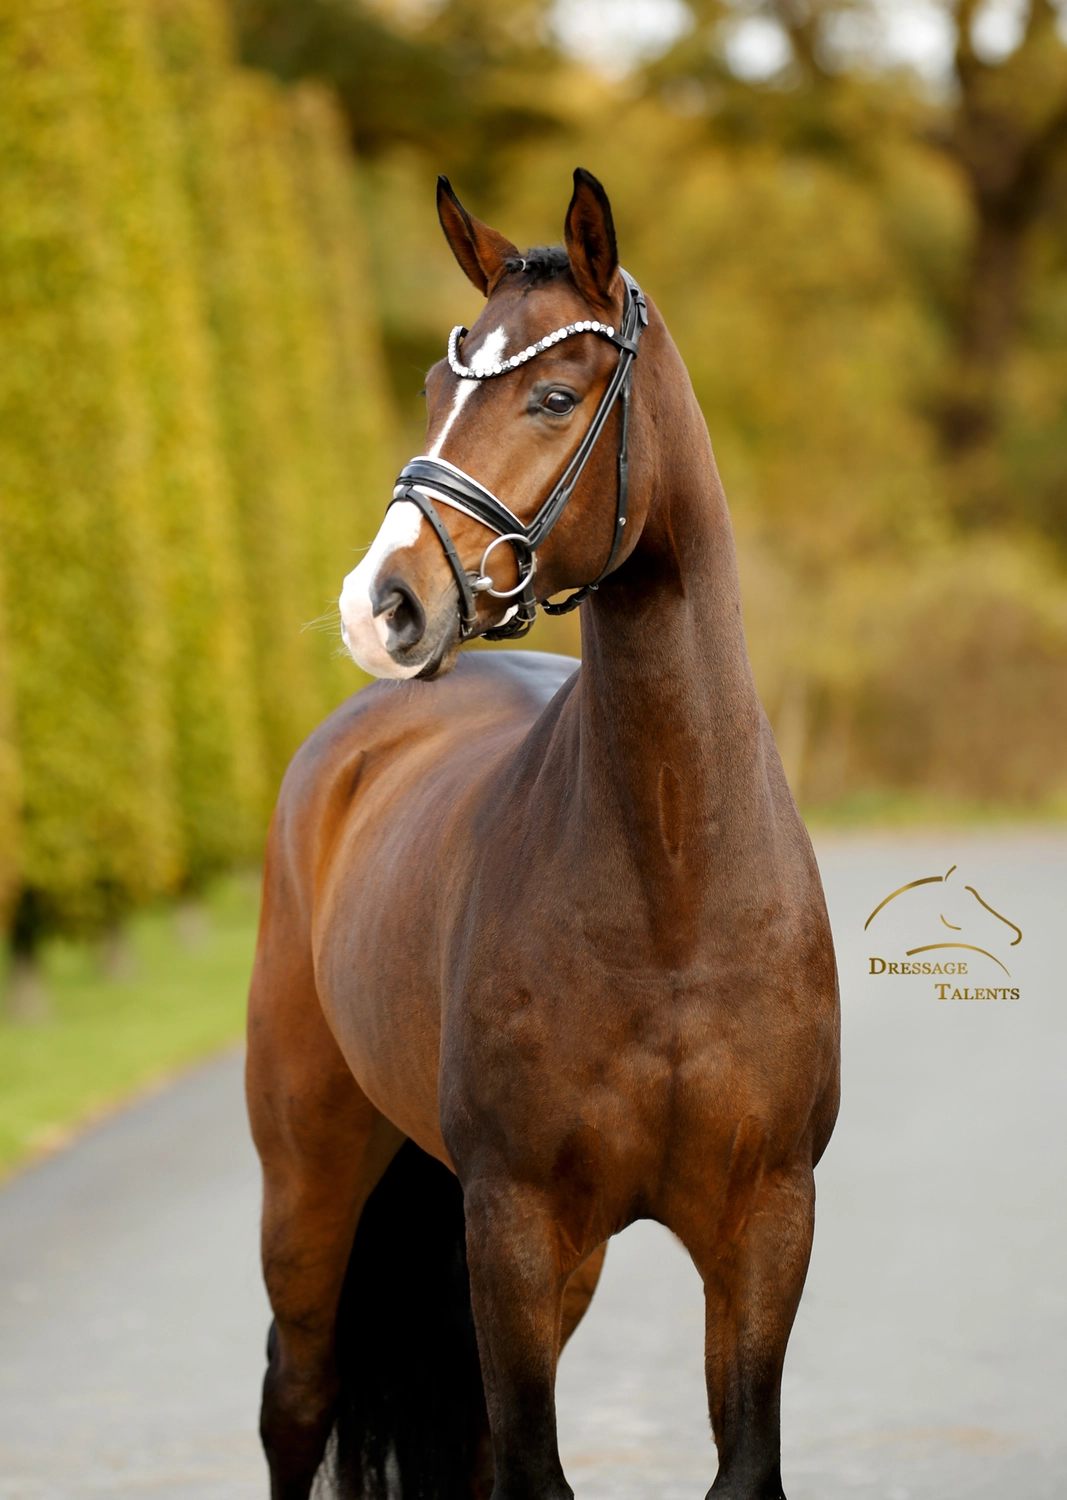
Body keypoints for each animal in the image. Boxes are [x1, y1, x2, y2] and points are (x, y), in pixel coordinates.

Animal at [246, 167, 840, 1500]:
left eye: (554, 395)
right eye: (437, 386)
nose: (380, 605)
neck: (673, 878)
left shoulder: (764, 1226)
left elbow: (741, 1459)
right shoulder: (515, 1225)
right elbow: (531, 1469)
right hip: (308, 1184)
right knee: (295, 1401)